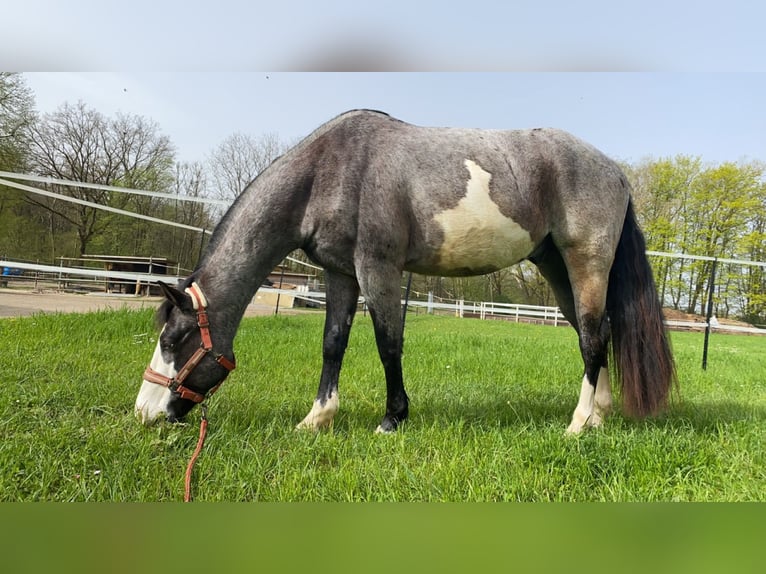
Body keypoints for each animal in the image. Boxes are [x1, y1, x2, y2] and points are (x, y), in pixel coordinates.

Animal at [135, 108, 676, 434]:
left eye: (172, 340)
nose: (144, 412)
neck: (331, 170)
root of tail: (615, 171)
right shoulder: (341, 273)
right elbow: (333, 343)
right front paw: (317, 419)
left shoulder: (378, 267)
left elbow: (387, 342)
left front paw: (392, 419)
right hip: (557, 268)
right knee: (596, 333)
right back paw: (598, 417)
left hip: (586, 263)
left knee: (592, 339)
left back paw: (578, 424)